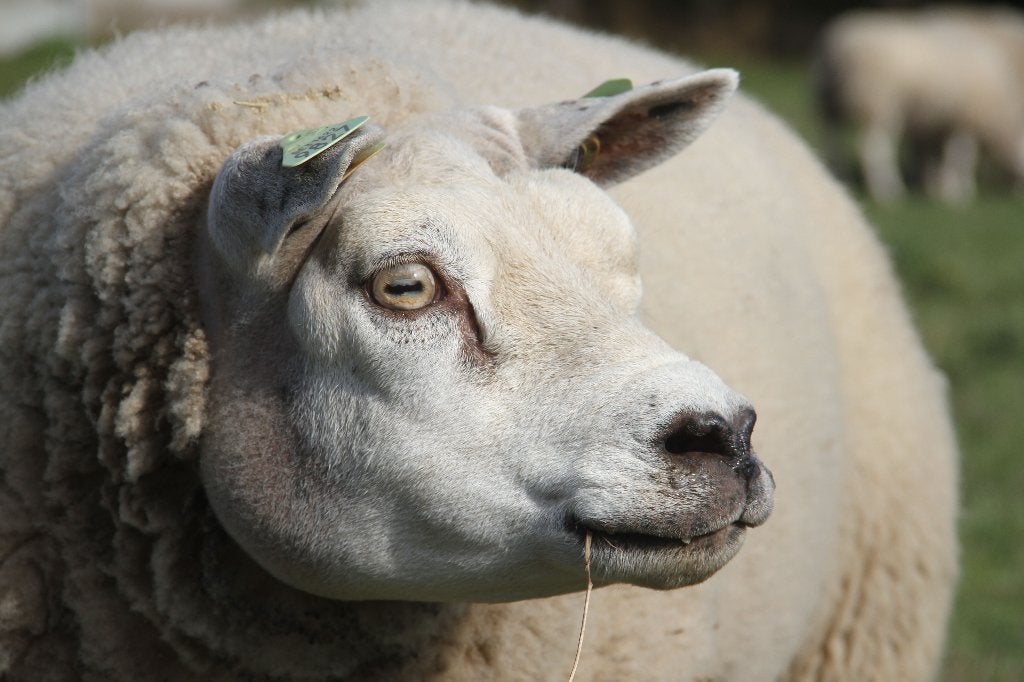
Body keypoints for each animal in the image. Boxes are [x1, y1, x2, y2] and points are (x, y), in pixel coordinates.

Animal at [817, 6, 1024, 202]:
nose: (1017, 193)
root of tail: (842, 46)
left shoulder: (933, 124)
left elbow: (932, 155)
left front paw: (934, 185)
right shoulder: (963, 121)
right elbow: (960, 158)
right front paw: (958, 191)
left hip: (830, 104)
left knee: (832, 142)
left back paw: (840, 176)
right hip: (879, 104)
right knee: (874, 150)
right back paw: (888, 190)